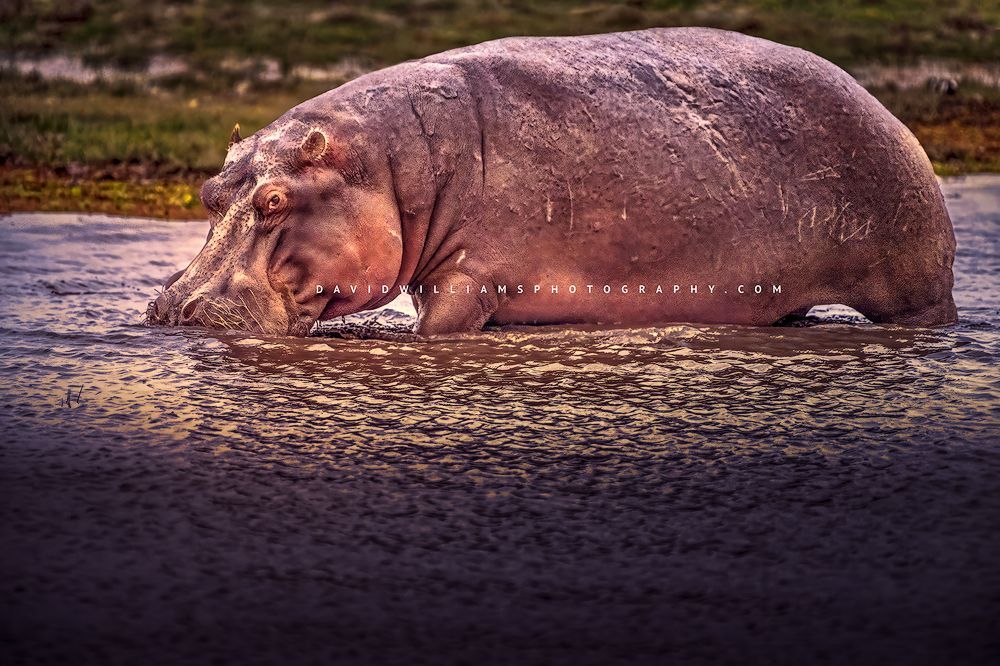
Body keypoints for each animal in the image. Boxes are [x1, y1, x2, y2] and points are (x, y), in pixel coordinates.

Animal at [147, 27, 957, 336]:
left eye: (274, 199)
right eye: (209, 194)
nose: (176, 307)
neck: (390, 167)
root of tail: (889, 111)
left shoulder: (472, 277)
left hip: (916, 285)